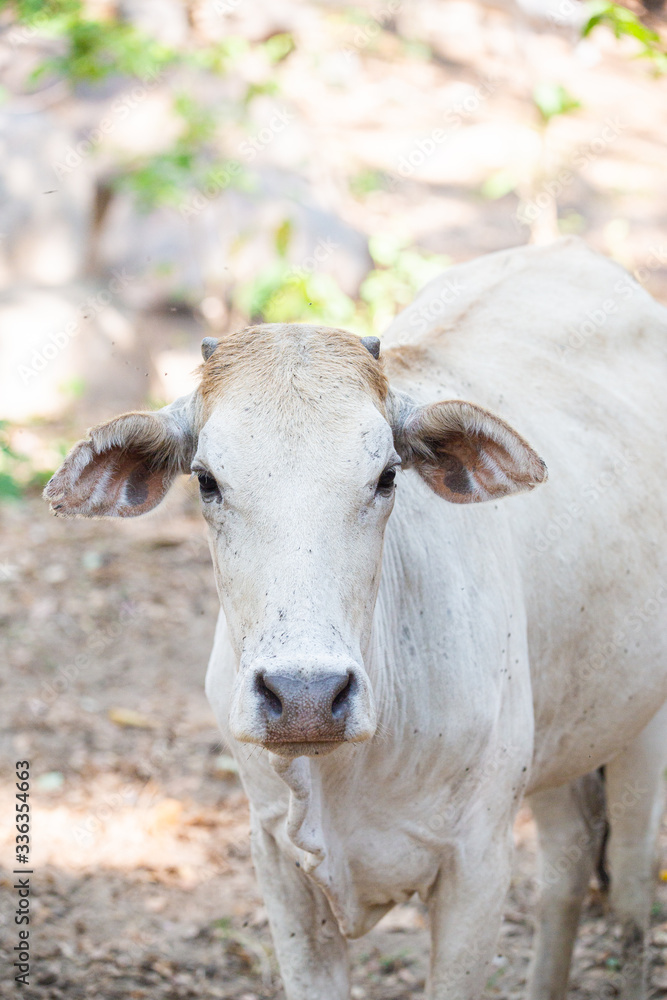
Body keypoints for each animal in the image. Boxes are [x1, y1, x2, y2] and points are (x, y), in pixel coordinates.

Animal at [47, 240, 667, 1000]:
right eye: (207, 479)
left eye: (385, 476)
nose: (305, 695)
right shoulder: (277, 862)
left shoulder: (478, 864)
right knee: (569, 859)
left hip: (638, 730)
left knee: (632, 887)